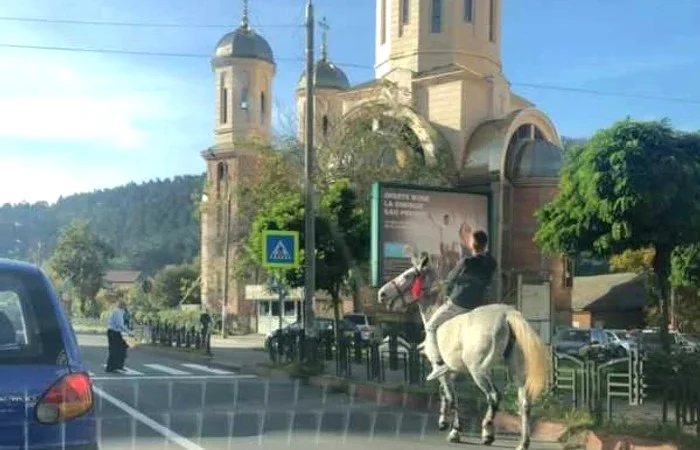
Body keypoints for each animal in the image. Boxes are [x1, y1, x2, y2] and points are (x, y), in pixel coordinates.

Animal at [378, 255, 552, 448]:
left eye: (408, 275)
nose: (382, 293)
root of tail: (507, 314)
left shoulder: (442, 370)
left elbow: (451, 397)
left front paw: (455, 431)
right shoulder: (452, 371)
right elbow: (446, 394)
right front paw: (443, 422)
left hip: (478, 371)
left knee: (493, 396)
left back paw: (487, 432)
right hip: (517, 371)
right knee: (524, 402)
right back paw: (523, 442)